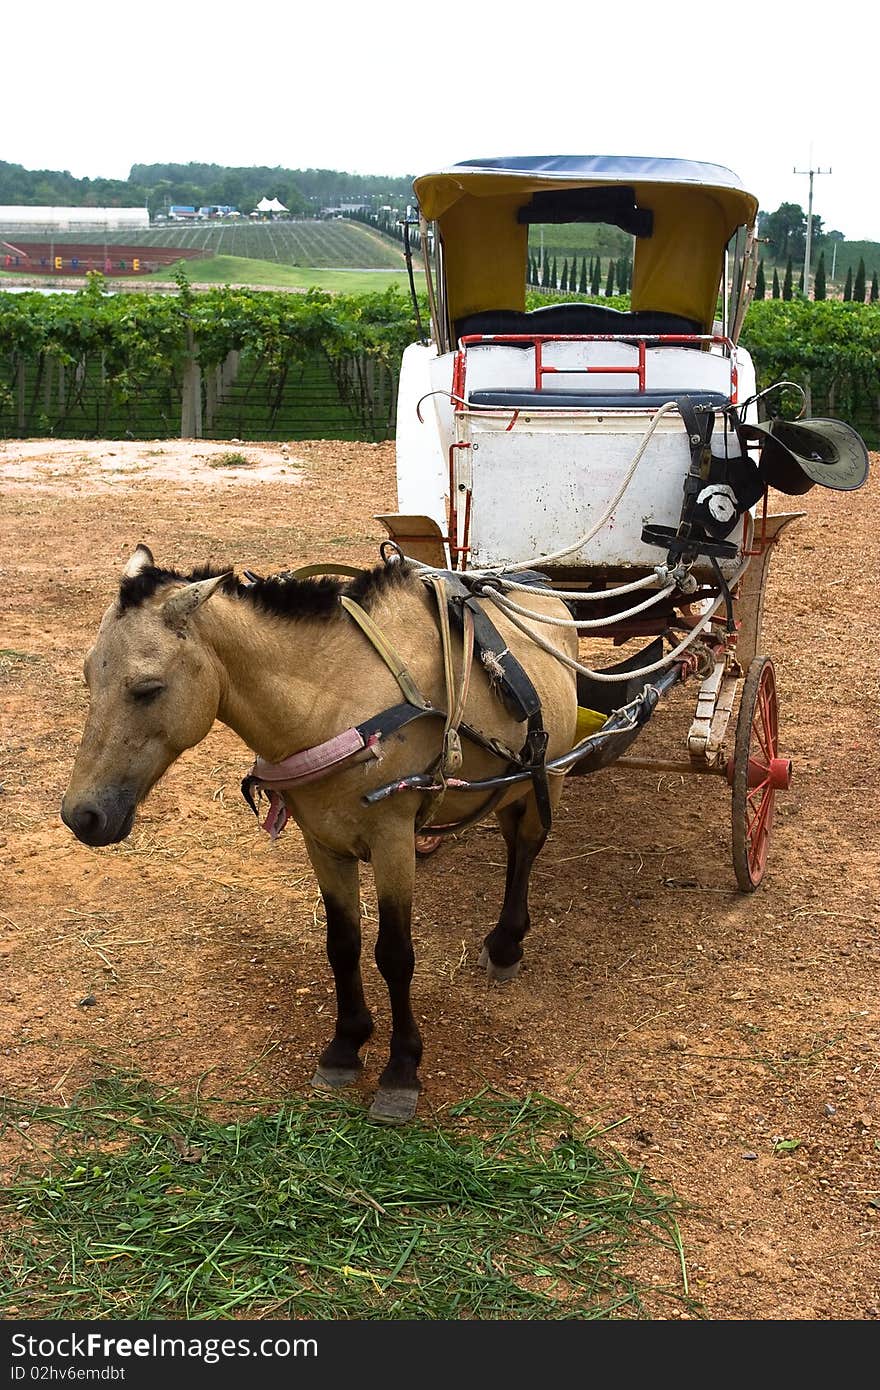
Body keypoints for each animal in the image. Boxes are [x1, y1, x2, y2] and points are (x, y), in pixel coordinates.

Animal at [63, 547, 583, 1123]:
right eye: (88, 677)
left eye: (148, 689)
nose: (82, 815)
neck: (337, 706)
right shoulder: (324, 842)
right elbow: (342, 944)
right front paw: (345, 1045)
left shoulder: (393, 841)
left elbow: (395, 955)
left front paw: (401, 1070)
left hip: (550, 775)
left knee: (526, 849)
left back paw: (508, 942)